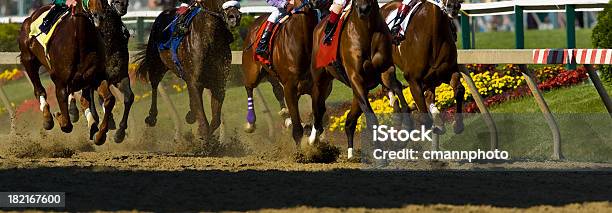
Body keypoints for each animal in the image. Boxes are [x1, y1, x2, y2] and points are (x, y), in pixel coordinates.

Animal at [18, 0, 116, 145]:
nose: (99, 16)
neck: (79, 40)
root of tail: (30, 17)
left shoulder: (96, 76)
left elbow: (109, 100)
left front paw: (99, 135)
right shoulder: (60, 82)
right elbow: (66, 125)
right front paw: (58, 115)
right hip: (28, 60)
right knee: (39, 90)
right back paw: (47, 118)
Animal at [136, 0, 241, 139]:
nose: (234, 17)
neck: (210, 40)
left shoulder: (218, 83)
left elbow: (215, 120)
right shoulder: (195, 81)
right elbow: (204, 122)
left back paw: (191, 114)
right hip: (156, 64)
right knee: (154, 84)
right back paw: (152, 117)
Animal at [241, 0, 332, 144]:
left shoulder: (322, 87)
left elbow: (318, 116)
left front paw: (314, 138)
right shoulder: (290, 87)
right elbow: (298, 131)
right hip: (252, 71)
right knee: (249, 87)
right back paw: (250, 123)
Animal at [310, 0, 412, 158]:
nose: (364, 9)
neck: (366, 30)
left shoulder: (385, 70)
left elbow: (400, 96)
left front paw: (403, 133)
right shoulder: (355, 78)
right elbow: (371, 118)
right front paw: (380, 156)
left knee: (349, 122)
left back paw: (351, 154)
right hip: (320, 81)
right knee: (318, 110)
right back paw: (311, 142)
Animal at [380, 0, 466, 133]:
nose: (453, 6)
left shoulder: (448, 71)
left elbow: (459, 89)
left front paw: (457, 125)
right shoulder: (412, 79)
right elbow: (425, 117)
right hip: (386, 68)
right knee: (389, 86)